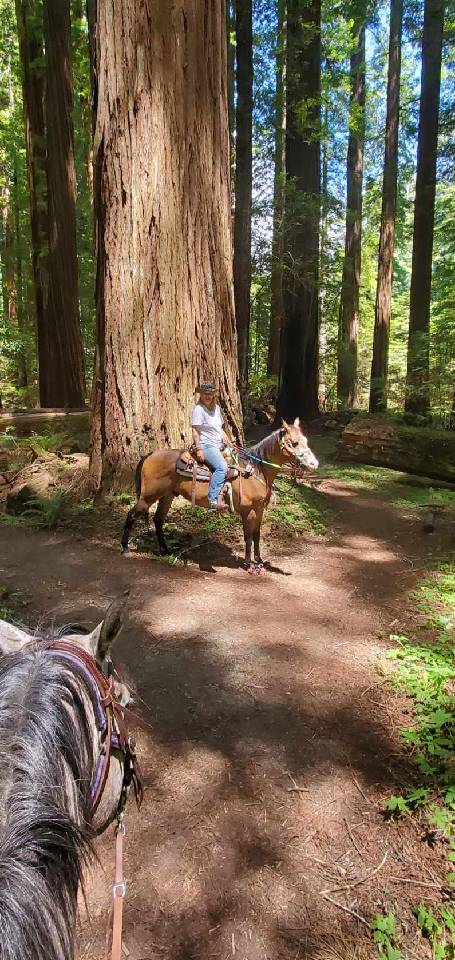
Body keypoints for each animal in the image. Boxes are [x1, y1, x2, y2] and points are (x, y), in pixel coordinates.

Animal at [121, 418, 319, 570]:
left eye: (306, 440)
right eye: (294, 443)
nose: (314, 464)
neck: (255, 470)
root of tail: (149, 455)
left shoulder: (260, 509)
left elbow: (256, 535)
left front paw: (259, 560)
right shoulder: (248, 511)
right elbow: (248, 537)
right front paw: (250, 565)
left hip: (167, 496)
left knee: (158, 520)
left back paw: (165, 550)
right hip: (148, 496)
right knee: (131, 515)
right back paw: (125, 547)